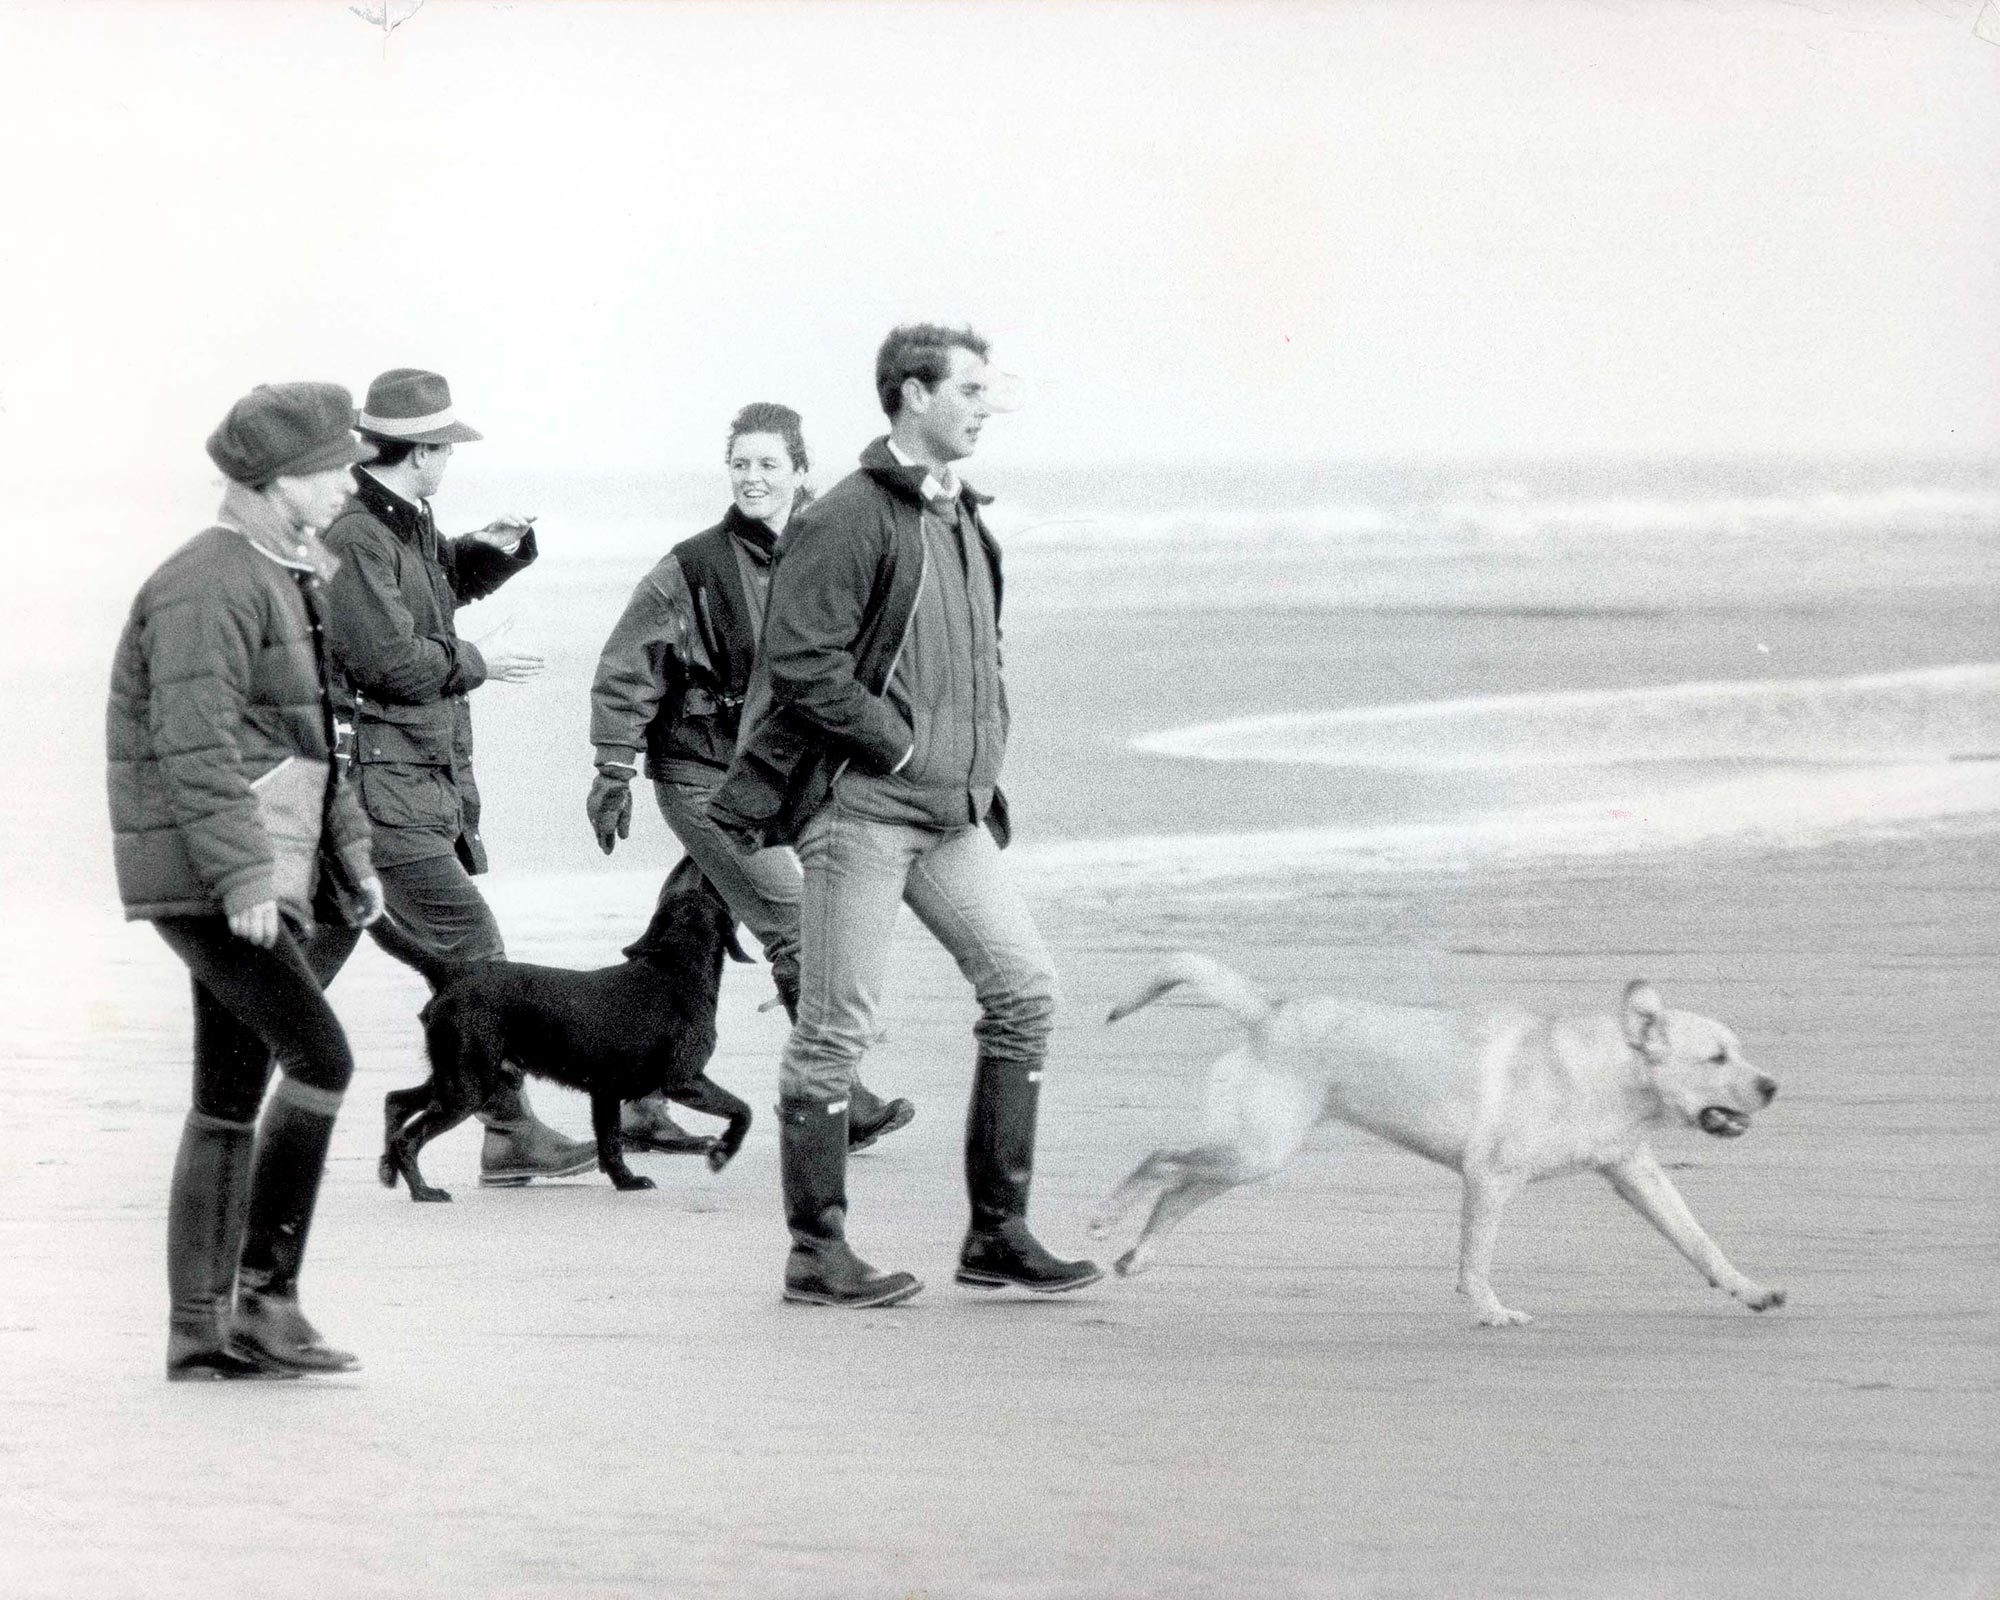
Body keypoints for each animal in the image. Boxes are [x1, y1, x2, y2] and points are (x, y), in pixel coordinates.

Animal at [378, 864, 752, 1200]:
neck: (674, 969)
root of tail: (454, 972)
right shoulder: (683, 1079)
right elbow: (742, 1110)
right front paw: (720, 1153)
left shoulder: (605, 1093)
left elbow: (610, 1144)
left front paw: (626, 1182)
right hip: (467, 1086)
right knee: (408, 1137)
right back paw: (424, 1191)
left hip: (458, 1074)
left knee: (395, 1101)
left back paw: (387, 1170)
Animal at [1088, 952, 1792, 1328]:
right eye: (1717, 1058)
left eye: (1738, 1052)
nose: (1774, 1086)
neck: (1606, 1074)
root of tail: (1273, 1009)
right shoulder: (1490, 1179)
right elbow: (1475, 1259)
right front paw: (1489, 1311)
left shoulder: (1636, 1174)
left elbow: (1699, 1241)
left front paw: (1750, 1290)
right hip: (1252, 1150)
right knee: (1158, 1162)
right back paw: (1105, 1215)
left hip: (1253, 1158)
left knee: (1176, 1191)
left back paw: (1138, 1255)